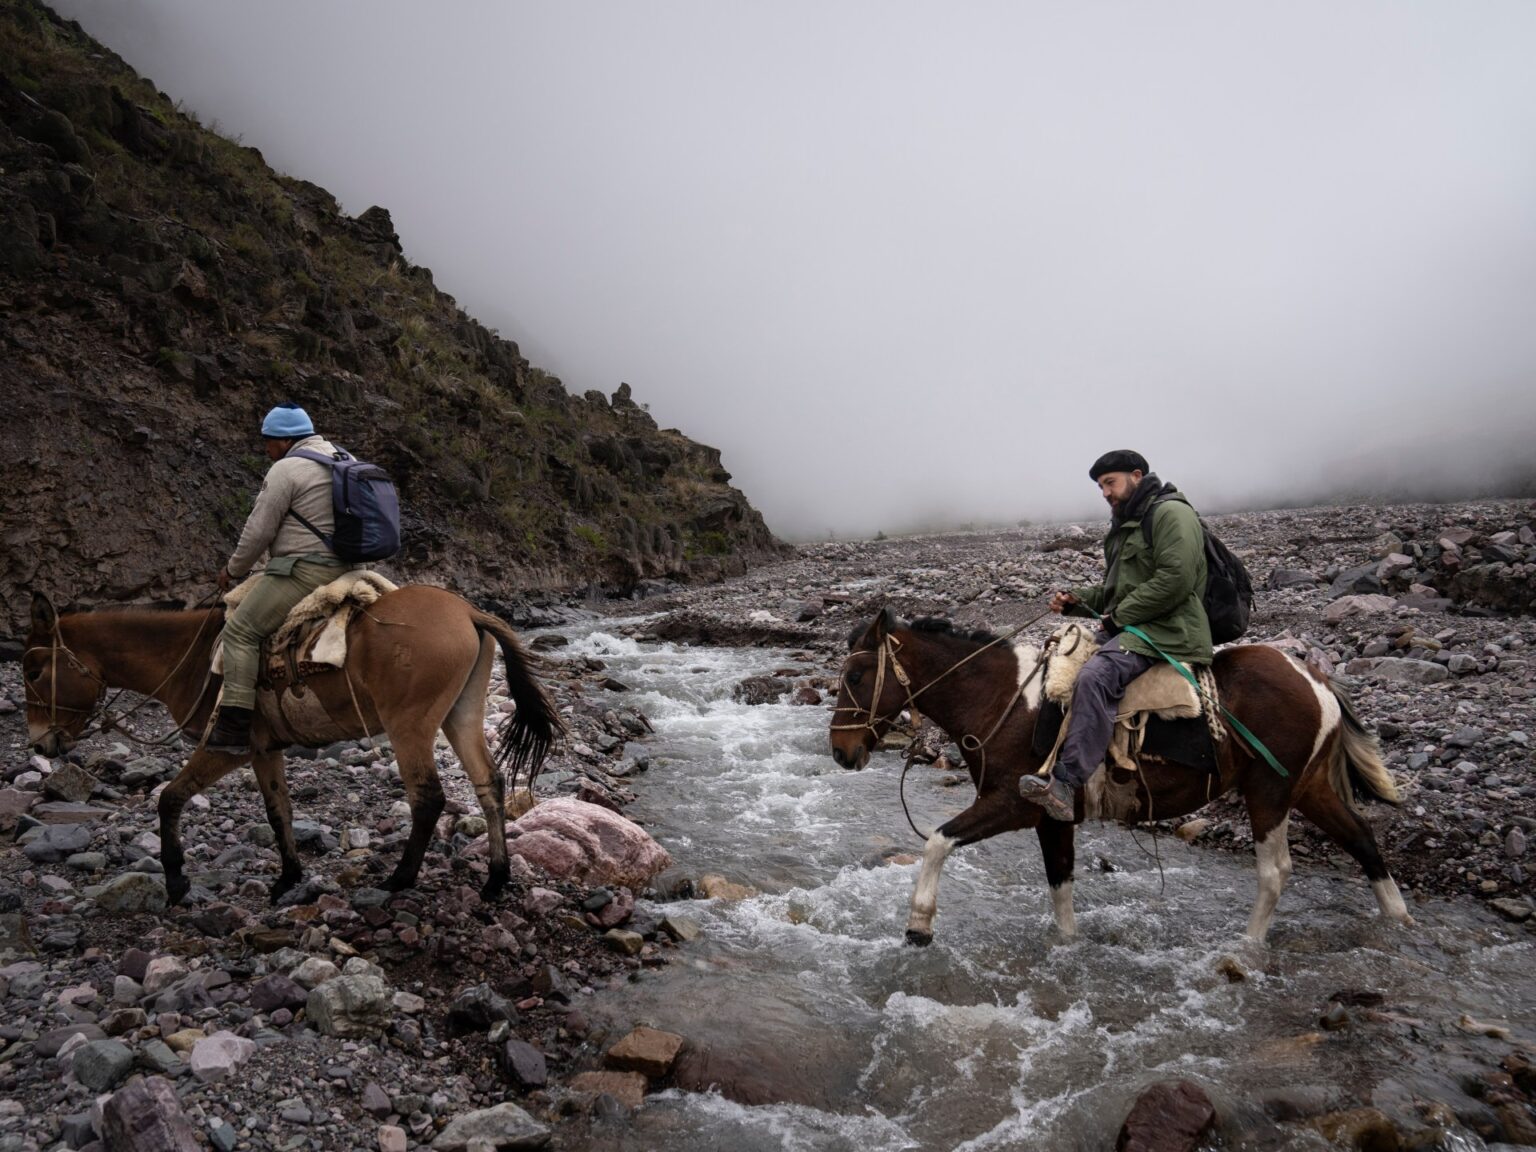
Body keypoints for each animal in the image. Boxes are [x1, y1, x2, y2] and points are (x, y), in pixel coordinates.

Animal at [21, 589, 562, 909]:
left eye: (33, 671)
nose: (40, 741)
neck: (187, 659)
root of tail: (467, 611)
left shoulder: (225, 748)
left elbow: (170, 798)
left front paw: (176, 882)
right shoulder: (264, 750)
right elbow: (277, 809)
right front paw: (288, 878)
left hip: (409, 724)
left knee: (427, 797)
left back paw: (399, 879)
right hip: (460, 714)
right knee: (488, 782)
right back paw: (495, 877)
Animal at [835, 614, 1406, 946]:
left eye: (855, 676)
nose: (841, 752)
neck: (1005, 698)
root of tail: (1316, 679)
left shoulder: (1011, 805)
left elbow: (937, 840)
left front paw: (919, 924)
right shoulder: (1052, 817)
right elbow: (1061, 887)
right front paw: (1067, 949)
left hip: (1269, 790)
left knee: (1276, 871)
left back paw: (1246, 949)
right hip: (1308, 787)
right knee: (1362, 838)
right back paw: (1399, 922)